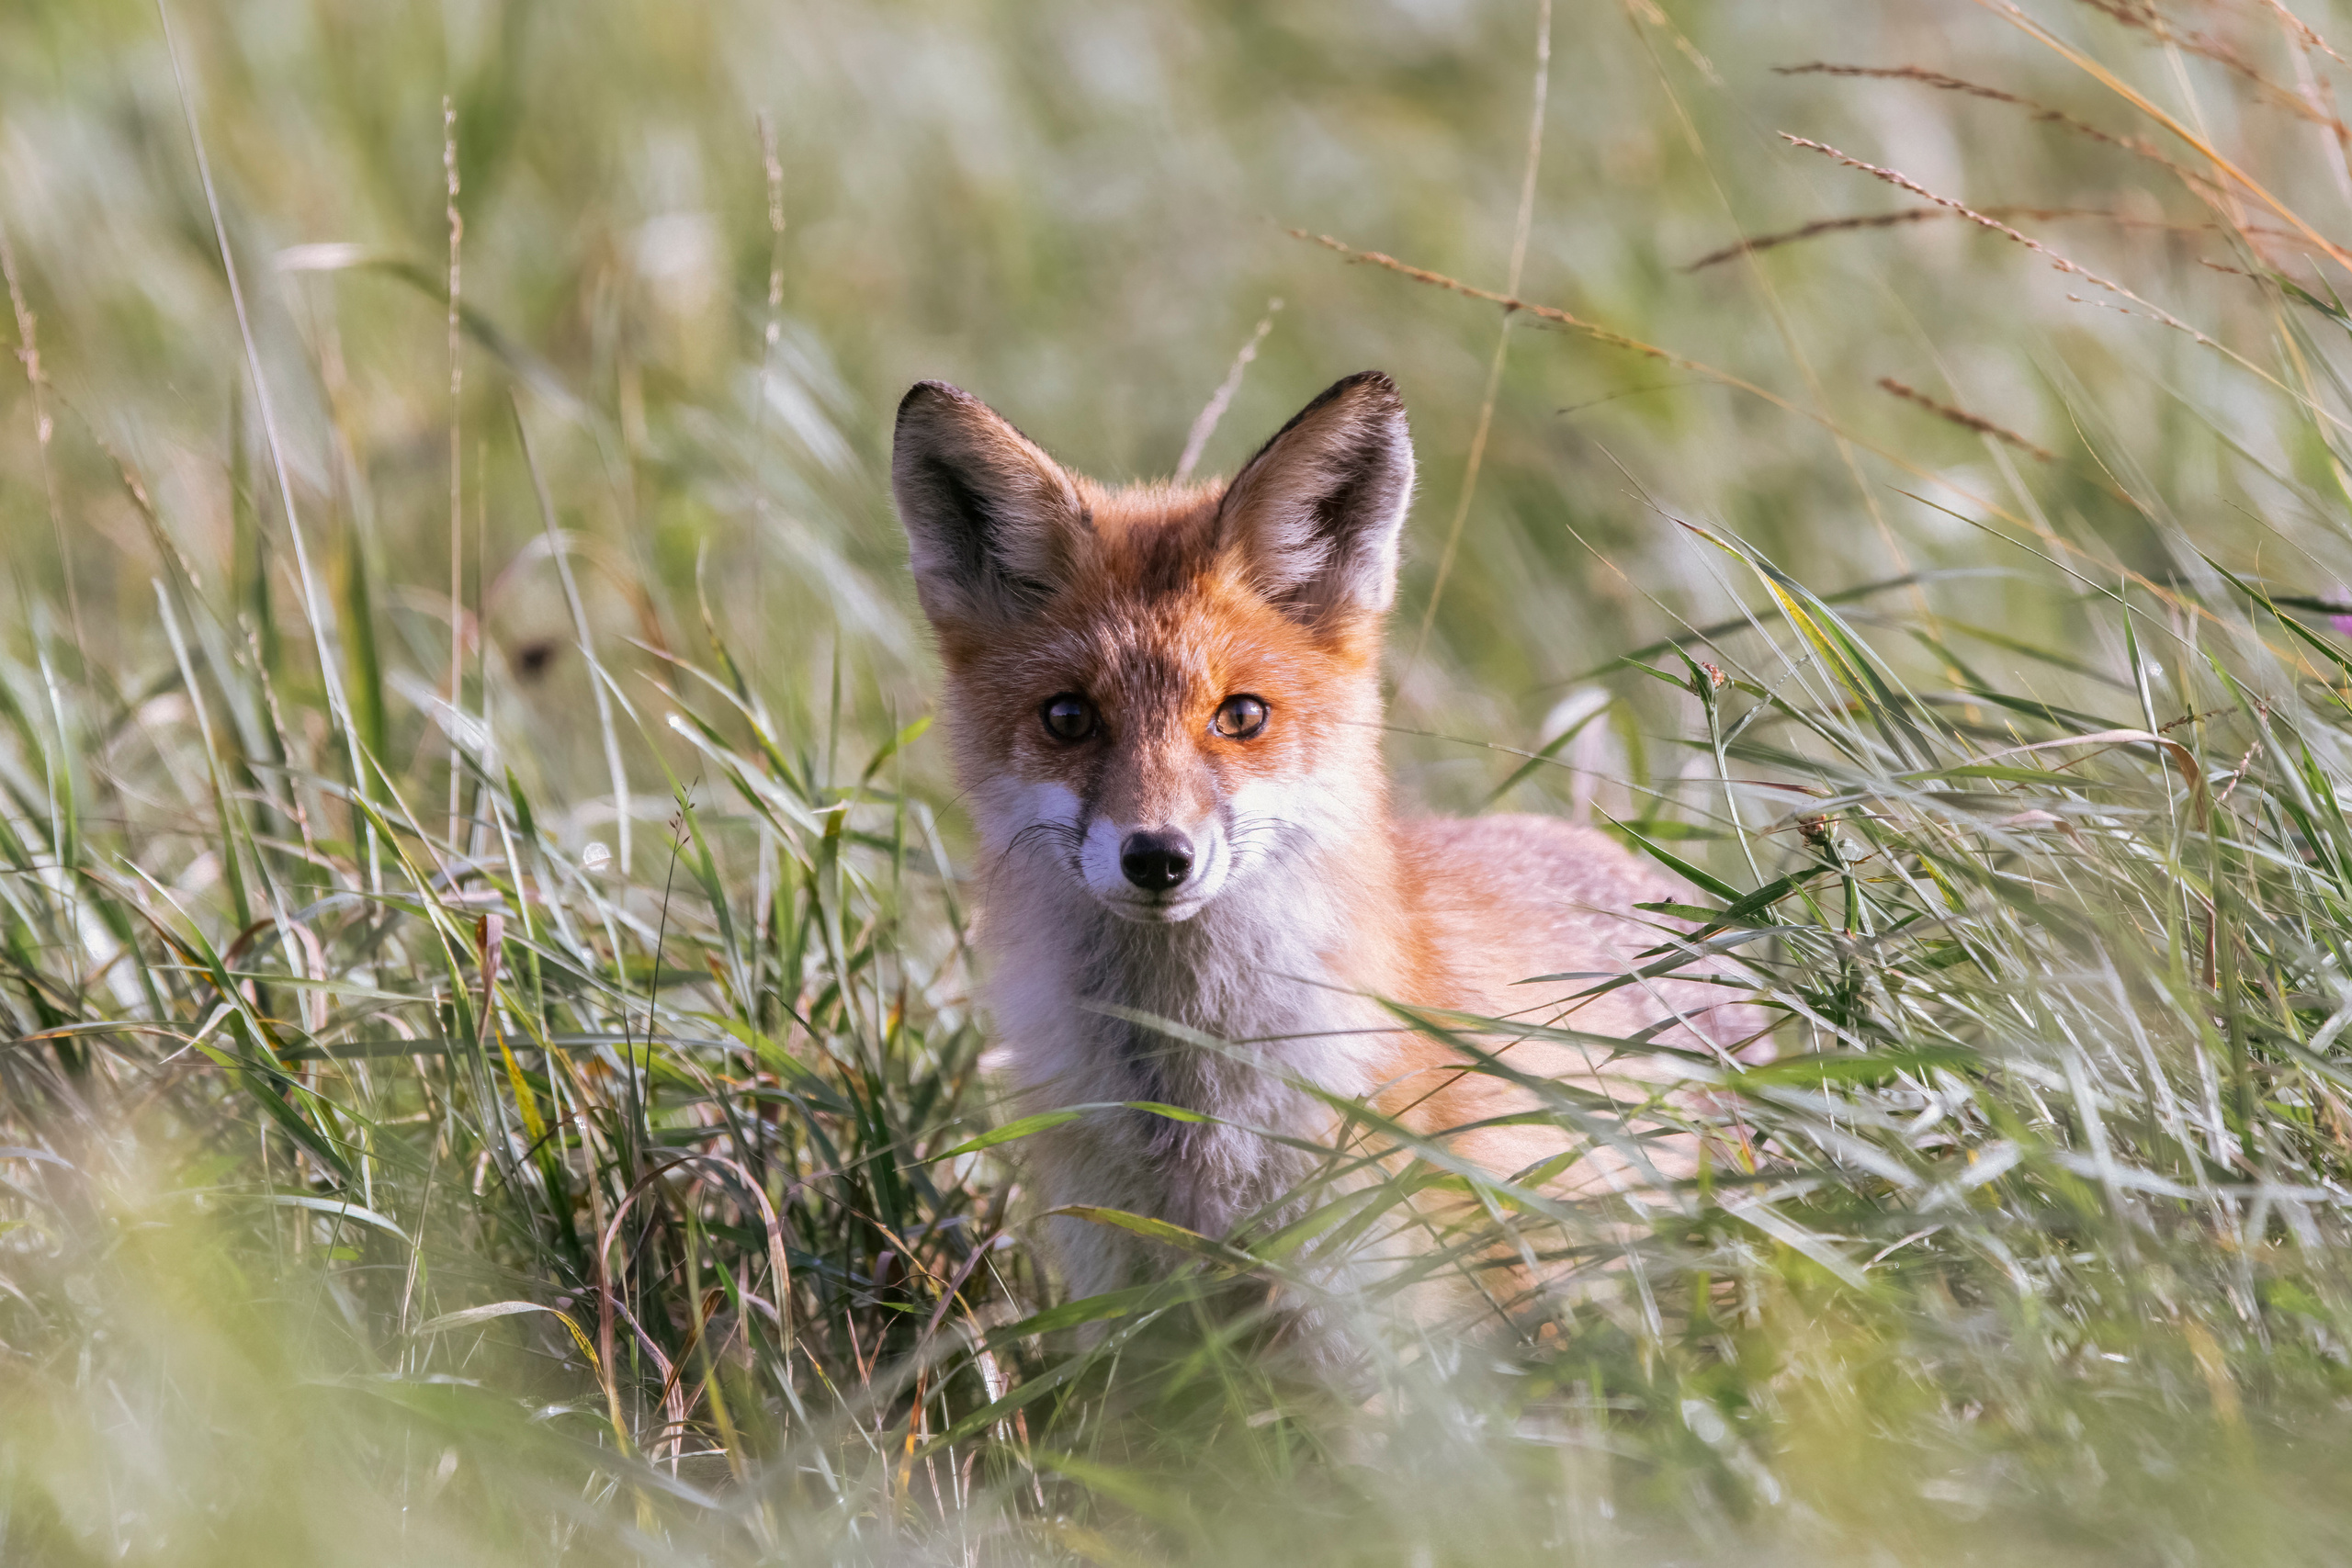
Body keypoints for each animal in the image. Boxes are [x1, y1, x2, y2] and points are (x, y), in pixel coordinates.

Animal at [892, 370, 1757, 1331]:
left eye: (1241, 714)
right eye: (1069, 716)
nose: (1158, 856)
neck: (1195, 1119)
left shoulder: (1383, 1310)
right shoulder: (1122, 1305)